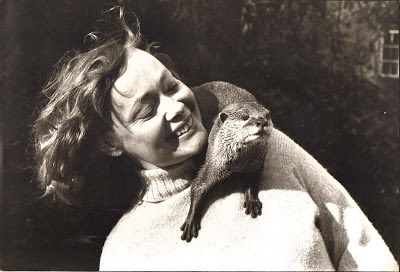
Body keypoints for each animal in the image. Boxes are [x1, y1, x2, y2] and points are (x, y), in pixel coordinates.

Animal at [180, 101, 272, 242]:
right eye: (245, 117)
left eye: (267, 116)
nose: (262, 122)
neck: (237, 163)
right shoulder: (213, 164)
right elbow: (198, 186)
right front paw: (191, 221)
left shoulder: (255, 164)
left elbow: (252, 181)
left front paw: (251, 201)